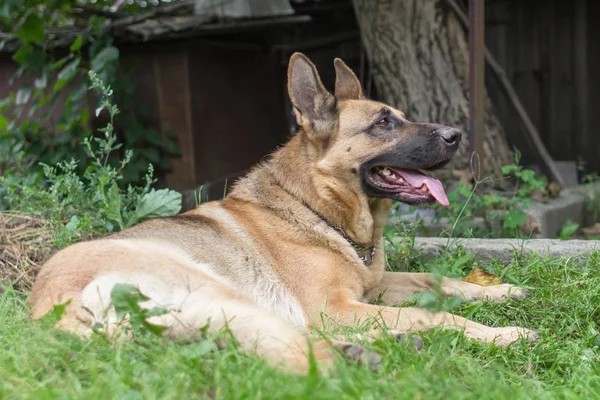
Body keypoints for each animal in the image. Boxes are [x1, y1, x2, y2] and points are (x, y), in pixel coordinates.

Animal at [29, 52, 540, 372]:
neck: (317, 209)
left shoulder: (372, 289)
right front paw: (504, 332)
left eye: (400, 115)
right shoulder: (337, 308)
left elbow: (436, 282)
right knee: (299, 349)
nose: (456, 135)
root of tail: (49, 309)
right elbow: (434, 314)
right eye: (382, 123)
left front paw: (501, 291)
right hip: (225, 293)